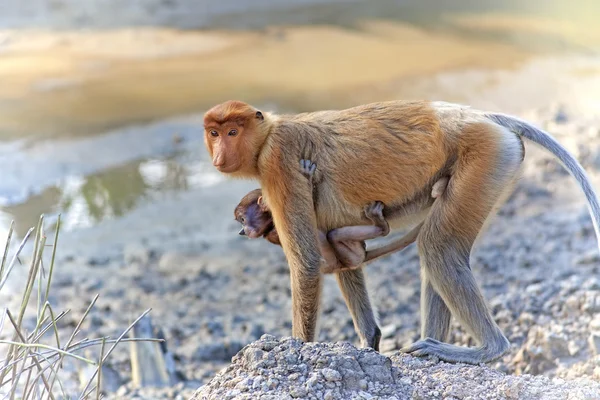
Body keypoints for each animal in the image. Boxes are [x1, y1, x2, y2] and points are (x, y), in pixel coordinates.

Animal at [236, 159, 450, 276]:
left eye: (243, 220)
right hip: (351, 255)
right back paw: (381, 227)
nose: (242, 231)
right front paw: (308, 180)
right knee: (332, 237)